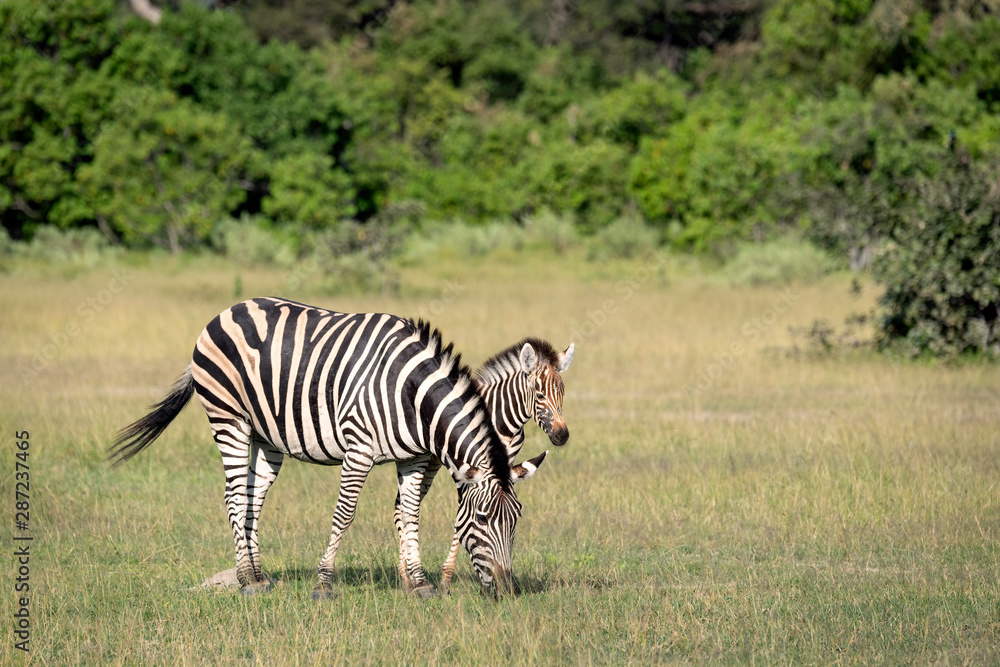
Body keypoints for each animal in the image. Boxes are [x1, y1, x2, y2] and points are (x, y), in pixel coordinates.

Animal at [109, 297, 545, 597]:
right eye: (484, 519)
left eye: (517, 520)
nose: (508, 592)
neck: (412, 395)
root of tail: (227, 310)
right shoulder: (359, 449)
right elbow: (345, 514)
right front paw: (324, 584)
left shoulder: (414, 459)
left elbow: (410, 515)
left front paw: (420, 584)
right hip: (228, 418)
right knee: (233, 496)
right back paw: (246, 580)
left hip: (266, 435)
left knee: (251, 497)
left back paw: (260, 576)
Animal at [393, 338, 573, 597]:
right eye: (539, 395)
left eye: (563, 393)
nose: (562, 436)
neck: (504, 421)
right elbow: (464, 517)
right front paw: (446, 580)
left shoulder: (503, 468)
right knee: (402, 507)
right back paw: (407, 579)